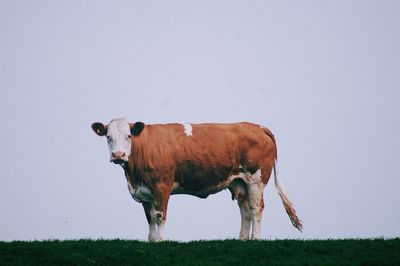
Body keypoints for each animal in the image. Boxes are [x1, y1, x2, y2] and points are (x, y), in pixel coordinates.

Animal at [91, 118, 304, 241]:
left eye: (128, 135)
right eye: (108, 137)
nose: (118, 155)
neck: (134, 175)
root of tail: (257, 127)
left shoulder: (162, 188)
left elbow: (159, 217)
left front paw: (161, 242)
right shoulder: (144, 193)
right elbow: (149, 219)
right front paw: (152, 241)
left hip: (255, 180)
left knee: (256, 208)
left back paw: (256, 239)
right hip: (239, 182)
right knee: (245, 210)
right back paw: (242, 239)